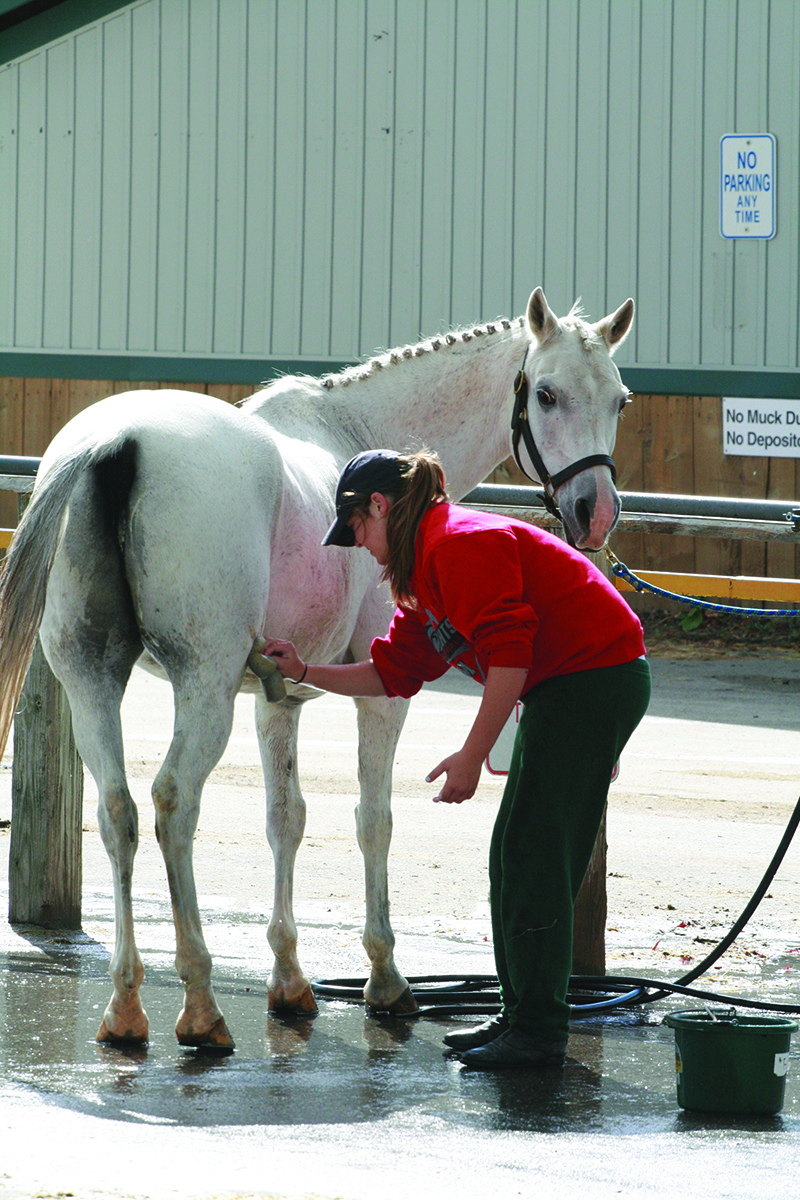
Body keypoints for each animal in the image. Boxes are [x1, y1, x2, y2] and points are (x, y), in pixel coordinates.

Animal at [0, 290, 633, 1051]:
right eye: (546, 393)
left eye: (620, 399)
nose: (594, 511)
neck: (364, 439)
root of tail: (114, 444)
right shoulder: (383, 694)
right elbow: (373, 819)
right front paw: (385, 980)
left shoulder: (278, 698)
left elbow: (287, 819)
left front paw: (291, 982)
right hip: (201, 686)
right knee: (173, 805)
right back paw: (200, 1004)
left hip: (92, 678)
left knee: (118, 810)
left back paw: (126, 1009)